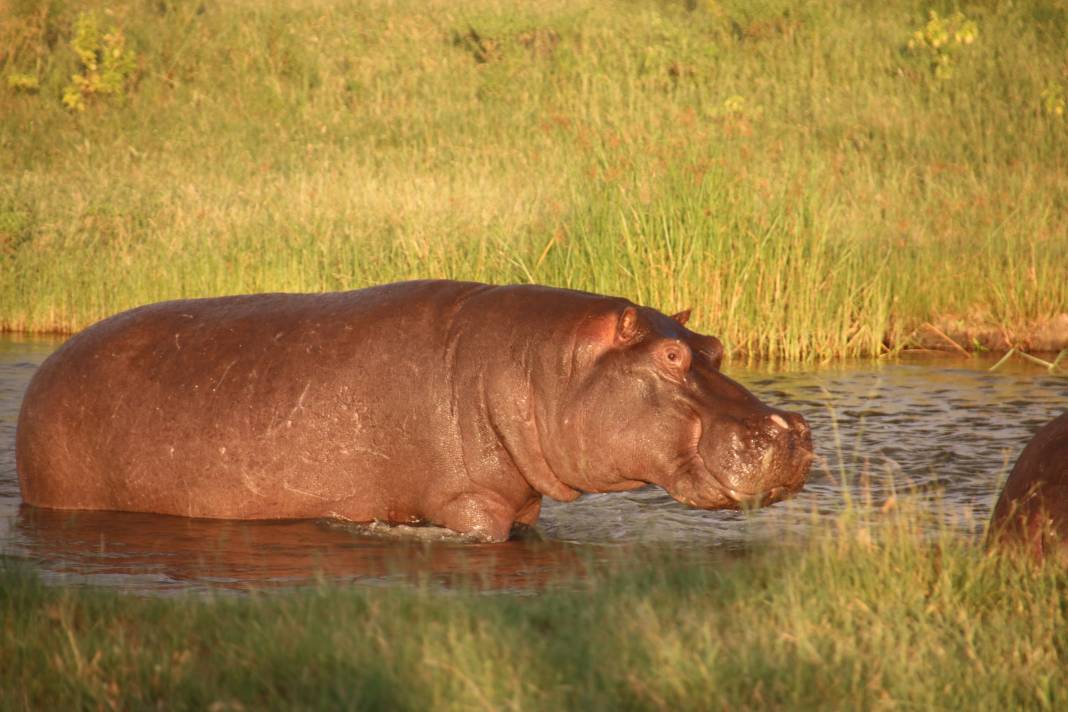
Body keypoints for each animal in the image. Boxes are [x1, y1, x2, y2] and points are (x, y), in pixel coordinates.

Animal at [14, 281, 807, 542]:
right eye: (670, 359)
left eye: (715, 346)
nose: (792, 429)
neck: (540, 366)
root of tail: (43, 371)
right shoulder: (469, 503)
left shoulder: (520, 503)